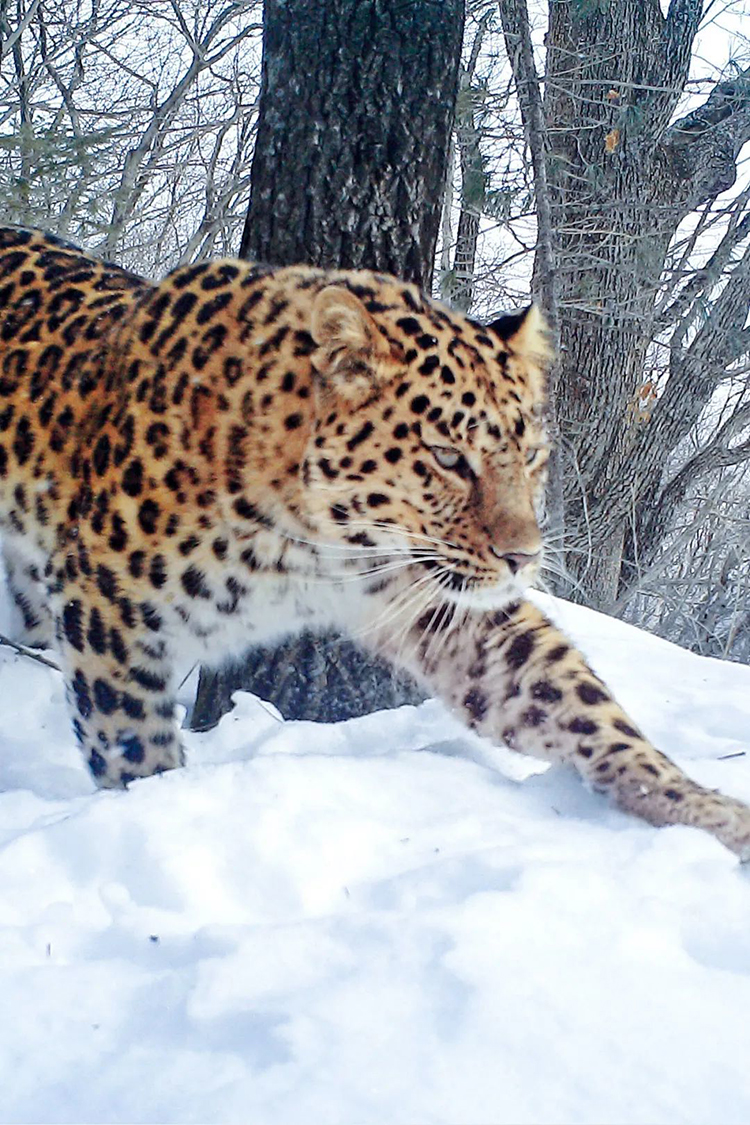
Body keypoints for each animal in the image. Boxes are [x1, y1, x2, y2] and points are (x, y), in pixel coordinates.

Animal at [1, 228, 750, 859]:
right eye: (448, 458)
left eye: (533, 455)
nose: (522, 559)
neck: (306, 542)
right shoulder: (108, 610)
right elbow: (132, 746)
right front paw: (150, 816)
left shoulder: (437, 598)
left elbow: (575, 703)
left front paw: (702, 808)